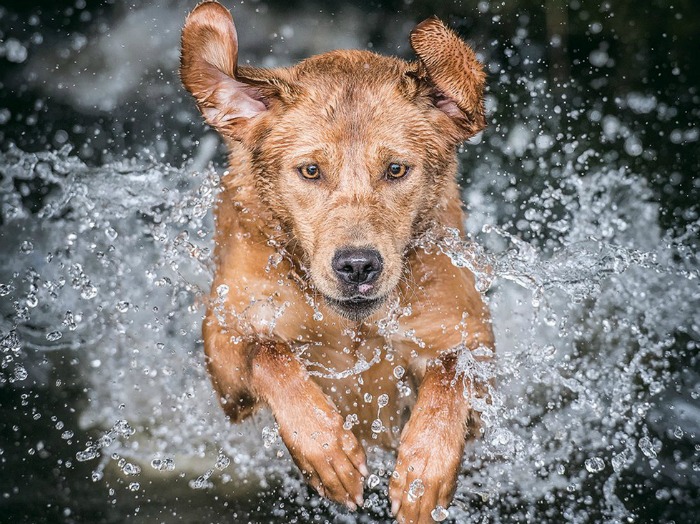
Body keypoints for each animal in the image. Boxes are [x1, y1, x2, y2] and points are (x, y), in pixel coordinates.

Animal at [183, 2, 494, 520]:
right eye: (311, 170)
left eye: (396, 169)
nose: (358, 266)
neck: (350, 328)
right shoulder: (226, 344)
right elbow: (270, 352)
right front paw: (326, 448)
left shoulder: (470, 345)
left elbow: (452, 375)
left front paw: (423, 471)